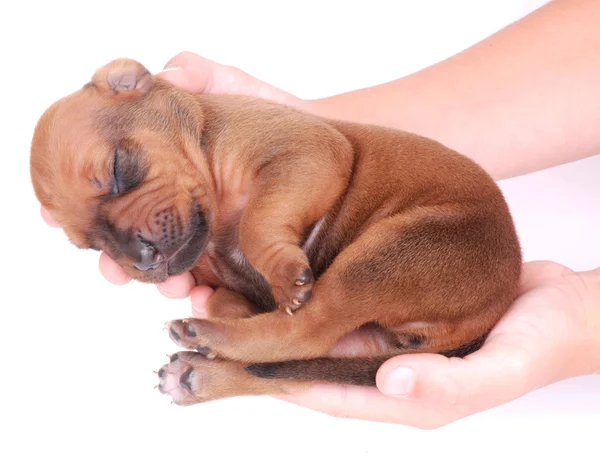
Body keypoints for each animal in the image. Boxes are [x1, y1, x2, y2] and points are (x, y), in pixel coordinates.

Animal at [31, 59, 520, 406]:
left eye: (119, 171)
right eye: (92, 245)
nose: (142, 259)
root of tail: (496, 303)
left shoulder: (305, 153)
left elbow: (256, 224)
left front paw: (282, 273)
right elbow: (232, 299)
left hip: (390, 254)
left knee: (305, 332)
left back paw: (206, 339)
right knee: (292, 363)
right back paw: (199, 374)